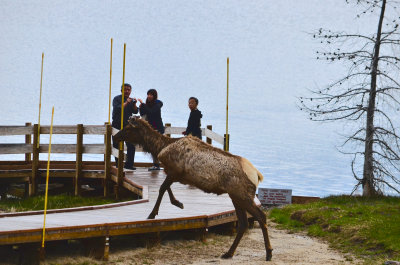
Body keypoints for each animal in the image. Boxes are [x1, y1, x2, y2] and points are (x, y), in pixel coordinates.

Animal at [114, 116, 274, 260]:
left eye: (128, 128)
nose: (115, 136)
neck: (160, 147)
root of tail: (257, 175)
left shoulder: (175, 171)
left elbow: (162, 188)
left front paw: (153, 214)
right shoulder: (175, 174)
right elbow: (166, 188)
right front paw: (178, 203)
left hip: (242, 195)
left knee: (261, 216)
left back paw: (268, 252)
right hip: (235, 196)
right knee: (243, 223)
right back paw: (229, 253)